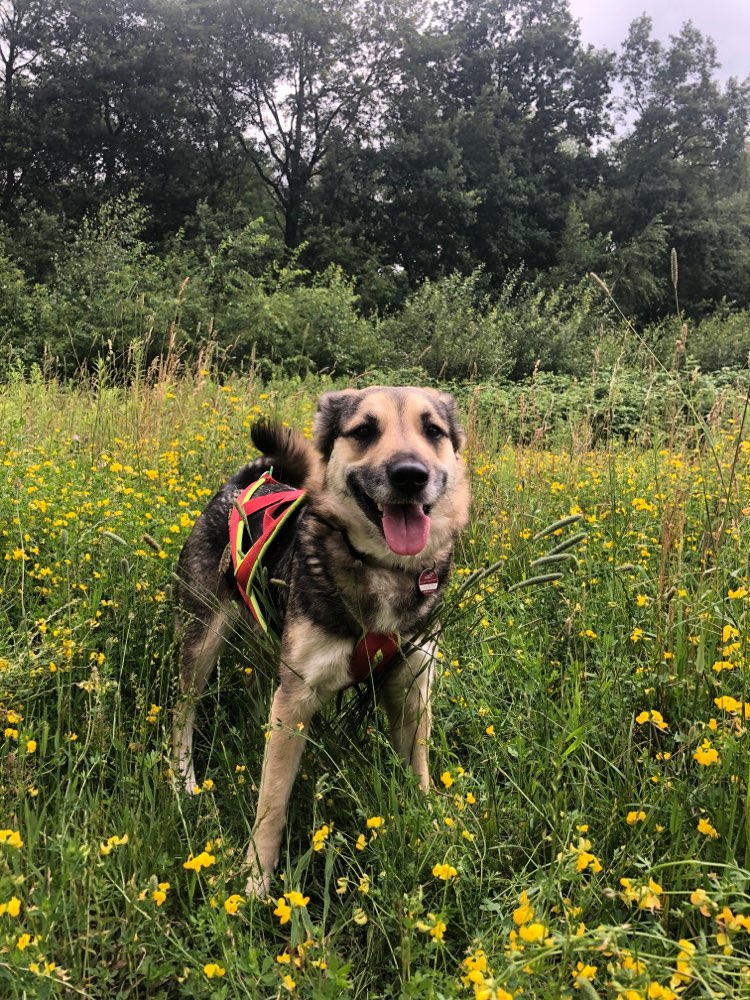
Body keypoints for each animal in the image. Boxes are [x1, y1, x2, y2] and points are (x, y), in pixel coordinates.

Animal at [173, 386, 472, 896]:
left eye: (432, 431)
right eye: (364, 430)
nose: (411, 476)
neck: (381, 567)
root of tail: (242, 484)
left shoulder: (412, 688)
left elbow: (419, 770)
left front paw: (431, 829)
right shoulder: (297, 697)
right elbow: (272, 801)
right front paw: (256, 881)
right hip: (202, 638)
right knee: (182, 712)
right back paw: (183, 781)